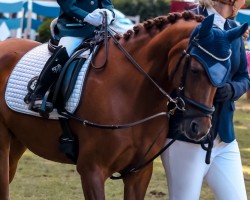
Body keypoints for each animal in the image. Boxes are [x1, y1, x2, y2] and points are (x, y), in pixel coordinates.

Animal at [0, 11, 246, 199]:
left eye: (227, 72)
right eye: (195, 69)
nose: (200, 129)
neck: (130, 94)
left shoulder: (139, 173)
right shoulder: (92, 171)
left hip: (18, 141)